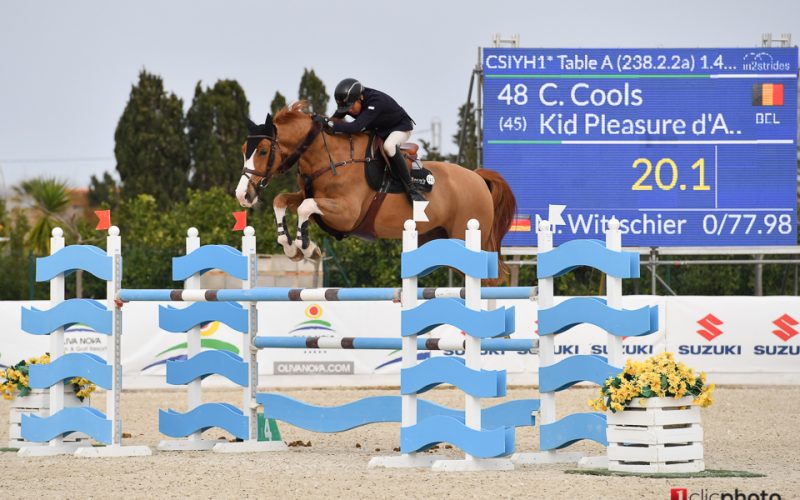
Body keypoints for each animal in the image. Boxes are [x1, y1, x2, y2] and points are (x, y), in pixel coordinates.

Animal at [235, 101, 516, 279]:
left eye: (263, 151)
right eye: (244, 150)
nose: (242, 195)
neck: (328, 158)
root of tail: (477, 177)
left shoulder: (347, 214)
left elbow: (304, 208)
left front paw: (306, 247)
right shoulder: (312, 198)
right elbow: (281, 200)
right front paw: (291, 247)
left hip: (469, 237)